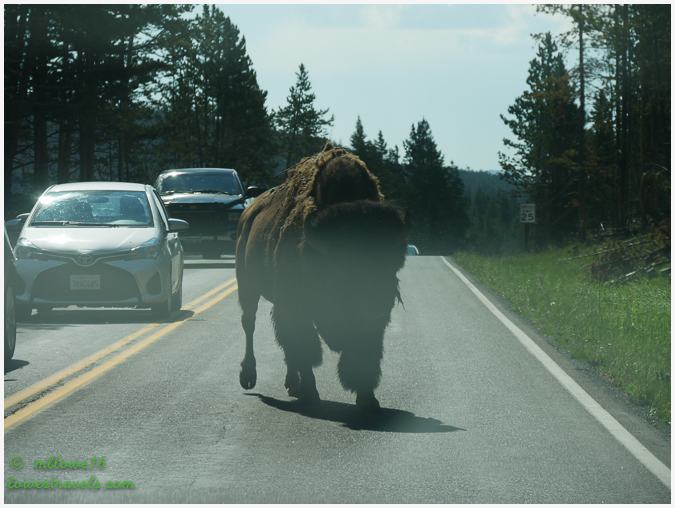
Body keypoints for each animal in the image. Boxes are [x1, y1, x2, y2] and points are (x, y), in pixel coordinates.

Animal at [235, 146, 406, 410]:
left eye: (387, 266)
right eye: (342, 267)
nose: (375, 302)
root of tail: (248, 214)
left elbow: (364, 350)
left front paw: (367, 398)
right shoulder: (297, 306)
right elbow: (306, 347)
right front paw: (311, 392)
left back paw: (292, 383)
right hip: (247, 286)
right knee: (250, 323)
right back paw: (249, 376)